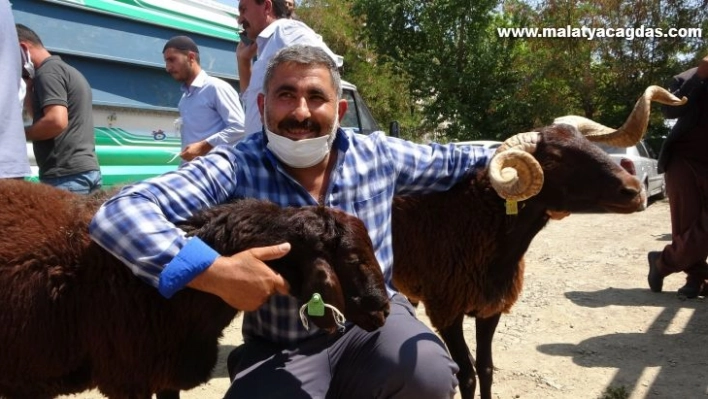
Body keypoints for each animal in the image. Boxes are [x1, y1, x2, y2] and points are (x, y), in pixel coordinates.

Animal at [390, 86, 688, 399]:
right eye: (555, 158)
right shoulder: (447, 310)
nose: (634, 191)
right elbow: (467, 376)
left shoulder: (490, 308)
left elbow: (485, 369)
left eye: (588, 144)